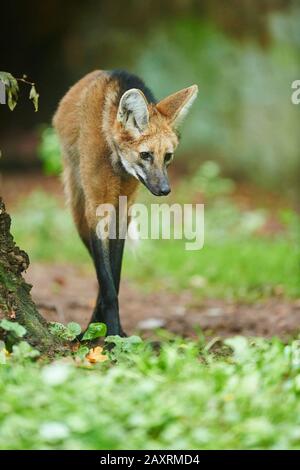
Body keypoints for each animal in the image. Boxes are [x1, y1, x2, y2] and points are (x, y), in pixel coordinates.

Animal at [52, 70, 198, 336]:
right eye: (145, 155)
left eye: (168, 156)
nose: (165, 190)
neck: (116, 161)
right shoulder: (97, 207)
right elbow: (107, 281)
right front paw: (110, 335)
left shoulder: (123, 210)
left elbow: (115, 276)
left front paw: (115, 331)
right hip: (78, 203)